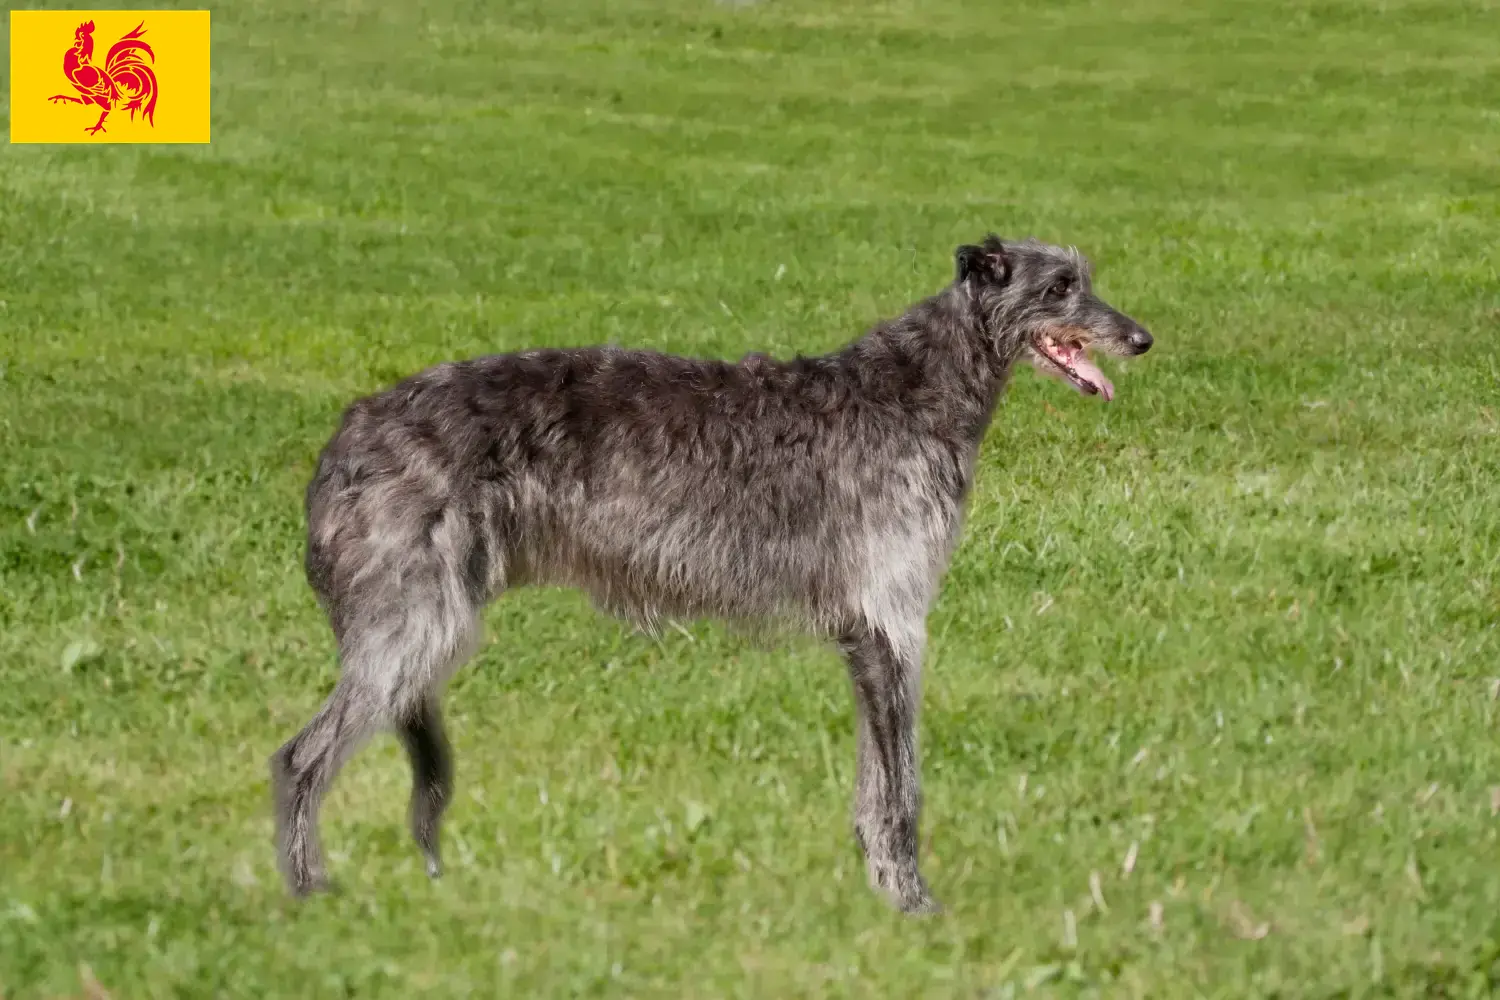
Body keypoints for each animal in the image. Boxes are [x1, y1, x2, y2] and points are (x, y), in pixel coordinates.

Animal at [270, 236, 1152, 917]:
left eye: (1086, 276)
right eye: (1060, 286)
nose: (1142, 338)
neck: (917, 392)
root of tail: (346, 436)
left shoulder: (867, 636)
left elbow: (874, 788)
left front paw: (879, 891)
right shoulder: (890, 624)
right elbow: (901, 789)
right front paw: (914, 904)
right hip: (415, 624)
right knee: (298, 758)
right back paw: (309, 893)